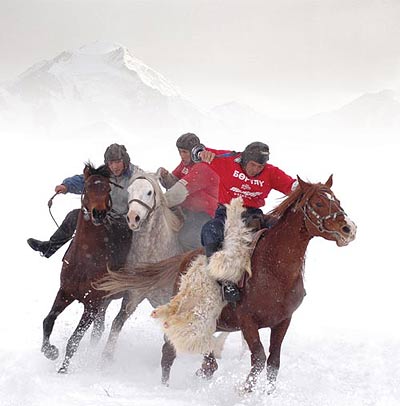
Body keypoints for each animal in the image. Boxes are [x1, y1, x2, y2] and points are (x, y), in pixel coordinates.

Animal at [41, 163, 121, 372]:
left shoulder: (91, 304)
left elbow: (74, 340)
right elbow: (48, 321)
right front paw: (51, 352)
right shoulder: (65, 292)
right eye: (88, 187)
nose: (99, 214)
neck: (85, 260)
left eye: (108, 189)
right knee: (100, 329)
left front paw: (63, 370)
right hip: (105, 302)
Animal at [99, 176, 356, 392]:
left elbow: (273, 362)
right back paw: (165, 388)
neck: (274, 270)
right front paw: (245, 391)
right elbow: (259, 358)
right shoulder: (248, 321)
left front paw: (267, 394)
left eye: (336, 200)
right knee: (168, 354)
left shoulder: (283, 321)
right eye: (319, 203)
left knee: (205, 360)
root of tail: (183, 259)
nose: (348, 228)